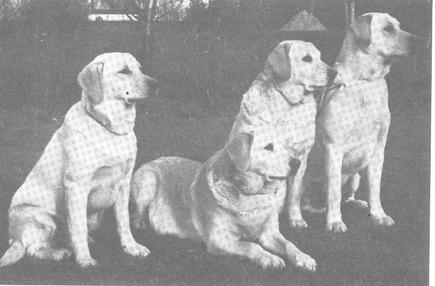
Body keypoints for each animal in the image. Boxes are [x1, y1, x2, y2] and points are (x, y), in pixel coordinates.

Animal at [0, 52, 160, 268]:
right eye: (124, 71)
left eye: (140, 69)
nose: (156, 84)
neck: (109, 129)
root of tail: (13, 236)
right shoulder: (77, 186)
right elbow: (78, 228)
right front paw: (84, 259)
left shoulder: (124, 184)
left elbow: (123, 222)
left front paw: (131, 247)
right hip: (43, 219)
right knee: (33, 249)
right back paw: (59, 253)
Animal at [292, 12, 420, 232]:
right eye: (388, 29)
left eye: (399, 26)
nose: (419, 40)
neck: (365, 82)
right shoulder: (333, 148)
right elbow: (333, 191)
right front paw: (335, 221)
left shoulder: (378, 150)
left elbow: (375, 189)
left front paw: (378, 215)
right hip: (300, 173)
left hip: (355, 177)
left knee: (346, 196)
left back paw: (357, 204)